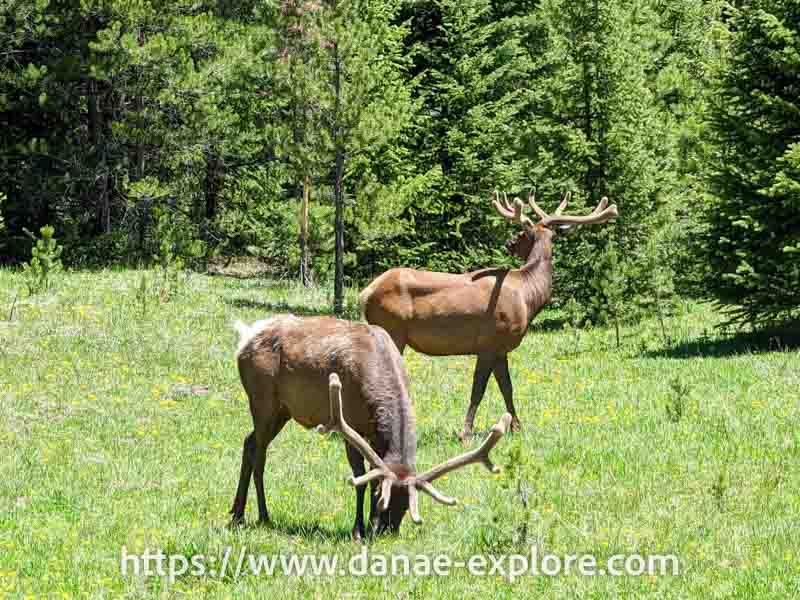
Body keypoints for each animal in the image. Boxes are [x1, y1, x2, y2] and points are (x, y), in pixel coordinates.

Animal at [228, 316, 510, 536]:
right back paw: (261, 516)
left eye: (406, 505)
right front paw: (357, 530)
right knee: (259, 452)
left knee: (248, 441)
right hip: (262, 400)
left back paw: (237, 513)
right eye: (381, 499)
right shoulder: (349, 425)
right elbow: (359, 477)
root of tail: (244, 337)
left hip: (282, 410)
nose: (386, 531)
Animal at [360, 191, 620, 440]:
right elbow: (479, 389)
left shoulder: (501, 348)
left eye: (522, 234)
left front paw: (516, 427)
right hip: (392, 330)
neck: (528, 295)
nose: (509, 243)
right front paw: (465, 432)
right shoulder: (488, 342)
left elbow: (507, 387)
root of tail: (365, 293)